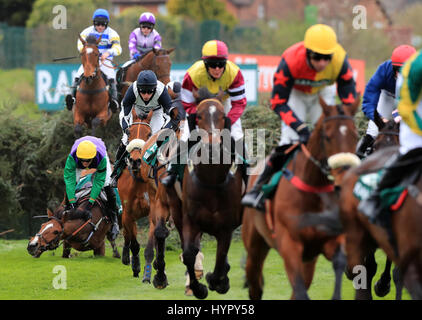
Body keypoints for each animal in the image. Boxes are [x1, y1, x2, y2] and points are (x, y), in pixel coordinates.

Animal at [242, 95, 362, 300]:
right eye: (327, 136)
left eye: (355, 136)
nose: (345, 178)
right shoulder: (290, 247)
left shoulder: (329, 241)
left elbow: (340, 261)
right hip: (255, 246)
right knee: (255, 282)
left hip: (308, 260)